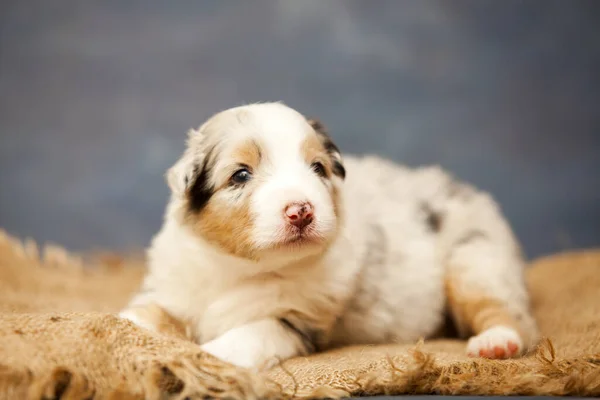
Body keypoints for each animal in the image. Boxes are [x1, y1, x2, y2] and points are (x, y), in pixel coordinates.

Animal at [118, 102, 540, 368]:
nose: (302, 211)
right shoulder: (170, 291)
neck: (239, 268)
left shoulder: (297, 320)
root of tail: (467, 190)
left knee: (506, 312)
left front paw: (204, 358)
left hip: (476, 260)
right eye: (240, 174)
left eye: (318, 168)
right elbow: (139, 316)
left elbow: (249, 333)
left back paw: (496, 343)